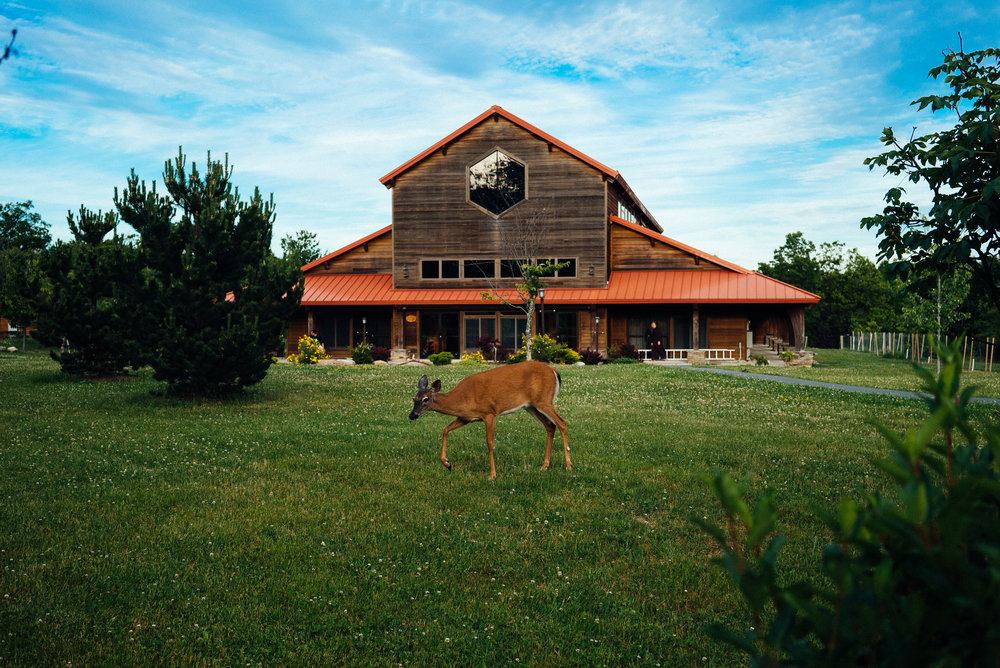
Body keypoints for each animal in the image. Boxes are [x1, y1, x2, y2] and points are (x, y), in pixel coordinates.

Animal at [410, 360, 572, 480]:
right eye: (413, 398)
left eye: (425, 399)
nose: (412, 415)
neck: (461, 398)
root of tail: (554, 372)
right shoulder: (466, 417)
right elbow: (445, 430)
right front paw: (447, 464)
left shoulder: (489, 413)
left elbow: (489, 443)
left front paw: (492, 475)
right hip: (531, 406)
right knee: (550, 425)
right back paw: (544, 466)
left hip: (544, 400)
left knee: (562, 423)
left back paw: (568, 465)